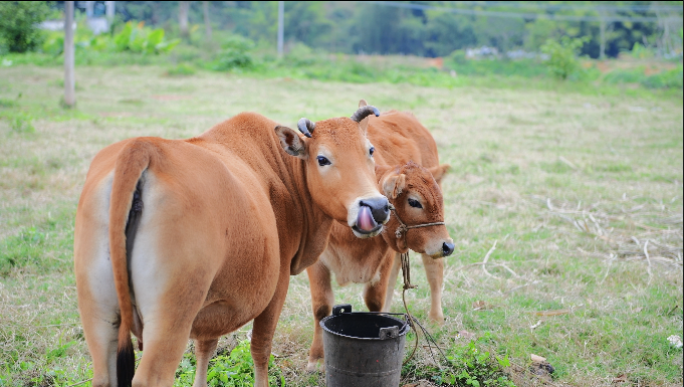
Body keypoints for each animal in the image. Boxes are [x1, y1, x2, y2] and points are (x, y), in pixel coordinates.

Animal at [75, 106, 390, 387]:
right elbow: (261, 348)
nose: (376, 206)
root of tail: (143, 149)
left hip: (100, 316)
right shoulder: (277, 286)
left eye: (370, 150)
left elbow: (205, 347)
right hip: (171, 318)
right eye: (323, 158)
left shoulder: (213, 302)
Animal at [308, 101, 452, 372]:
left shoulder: (383, 256)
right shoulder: (317, 260)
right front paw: (316, 358)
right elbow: (321, 306)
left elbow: (374, 300)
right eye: (414, 201)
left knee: (434, 270)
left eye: (439, 200)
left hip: (431, 244)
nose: (449, 245)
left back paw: (436, 318)